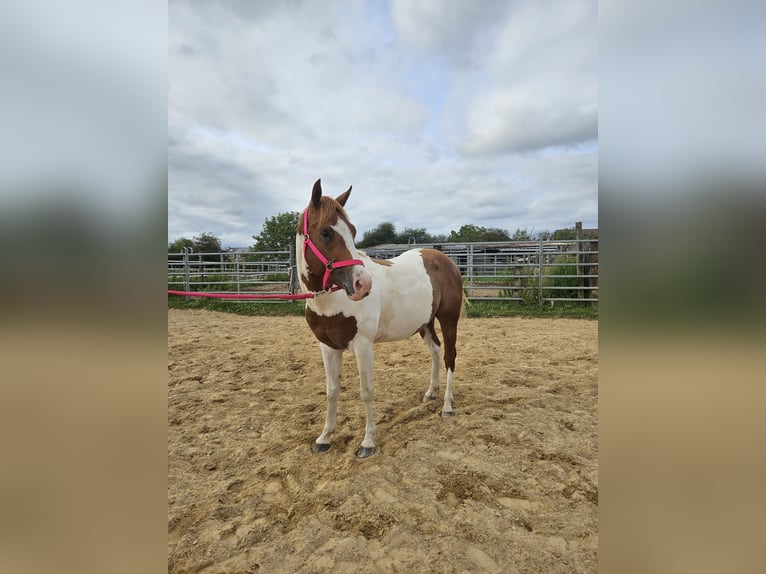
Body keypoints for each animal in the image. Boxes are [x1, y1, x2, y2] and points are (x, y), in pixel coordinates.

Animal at [296, 179, 464, 460]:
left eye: (353, 231)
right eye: (326, 232)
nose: (363, 284)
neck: (330, 301)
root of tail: (445, 260)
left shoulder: (363, 346)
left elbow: (366, 392)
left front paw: (367, 443)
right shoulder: (328, 347)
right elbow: (332, 391)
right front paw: (324, 437)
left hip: (449, 319)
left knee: (450, 356)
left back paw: (447, 406)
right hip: (425, 323)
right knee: (436, 350)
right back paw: (431, 393)